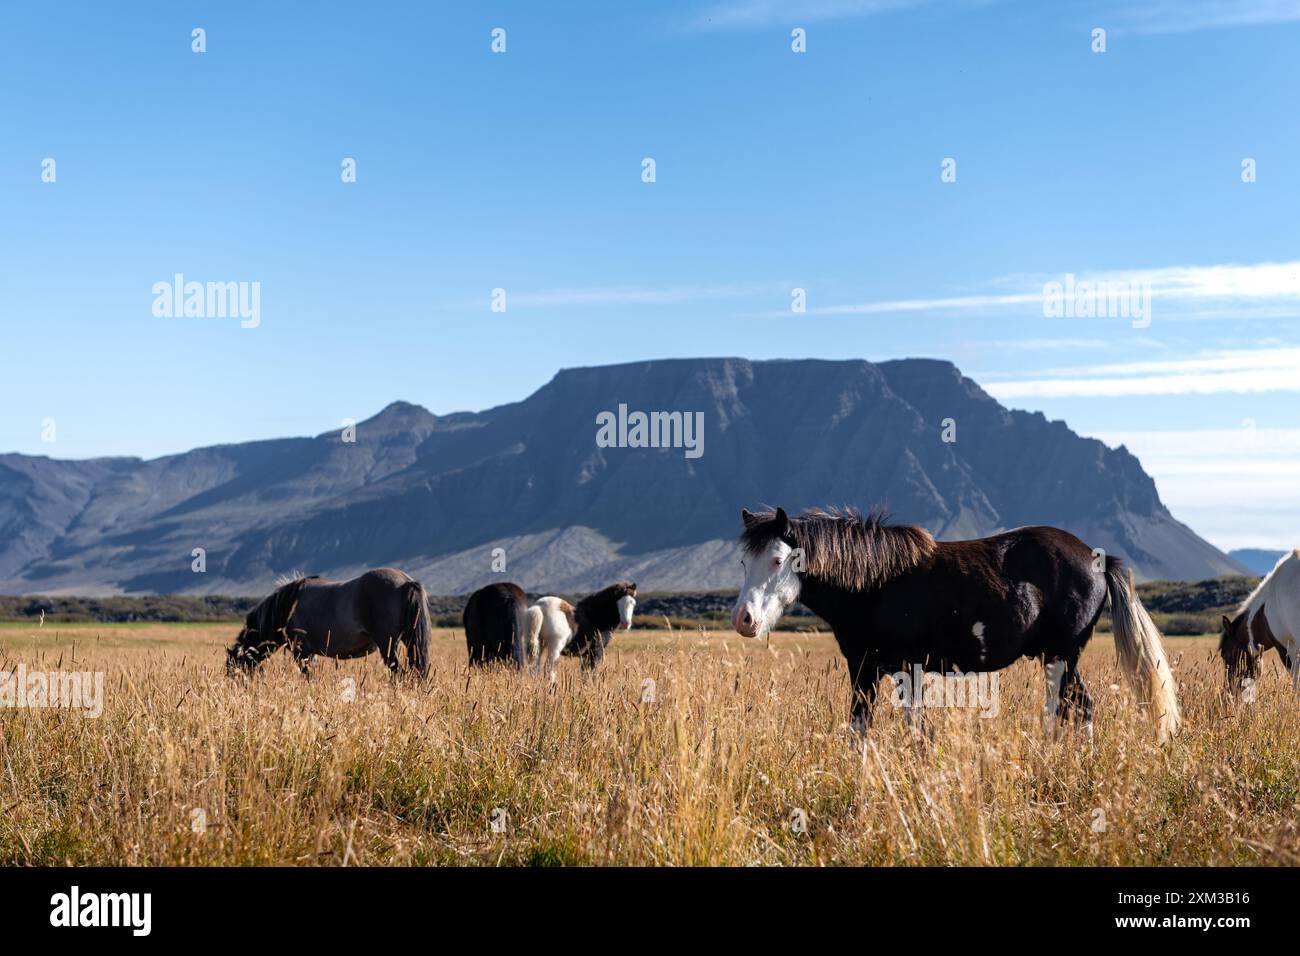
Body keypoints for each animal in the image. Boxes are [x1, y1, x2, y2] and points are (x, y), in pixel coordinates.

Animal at [226, 568, 430, 678]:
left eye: (234, 666)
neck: (288, 605)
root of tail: (406, 582)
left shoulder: (301, 652)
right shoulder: (310, 653)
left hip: (388, 645)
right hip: (410, 642)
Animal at [733, 507, 1181, 743]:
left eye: (777, 560)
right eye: (742, 561)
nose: (744, 620)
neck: (873, 583)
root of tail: (1098, 558)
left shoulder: (907, 669)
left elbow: (917, 731)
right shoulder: (862, 669)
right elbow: (859, 729)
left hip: (1061, 656)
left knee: (1067, 711)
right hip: (1062, 658)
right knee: (1080, 709)